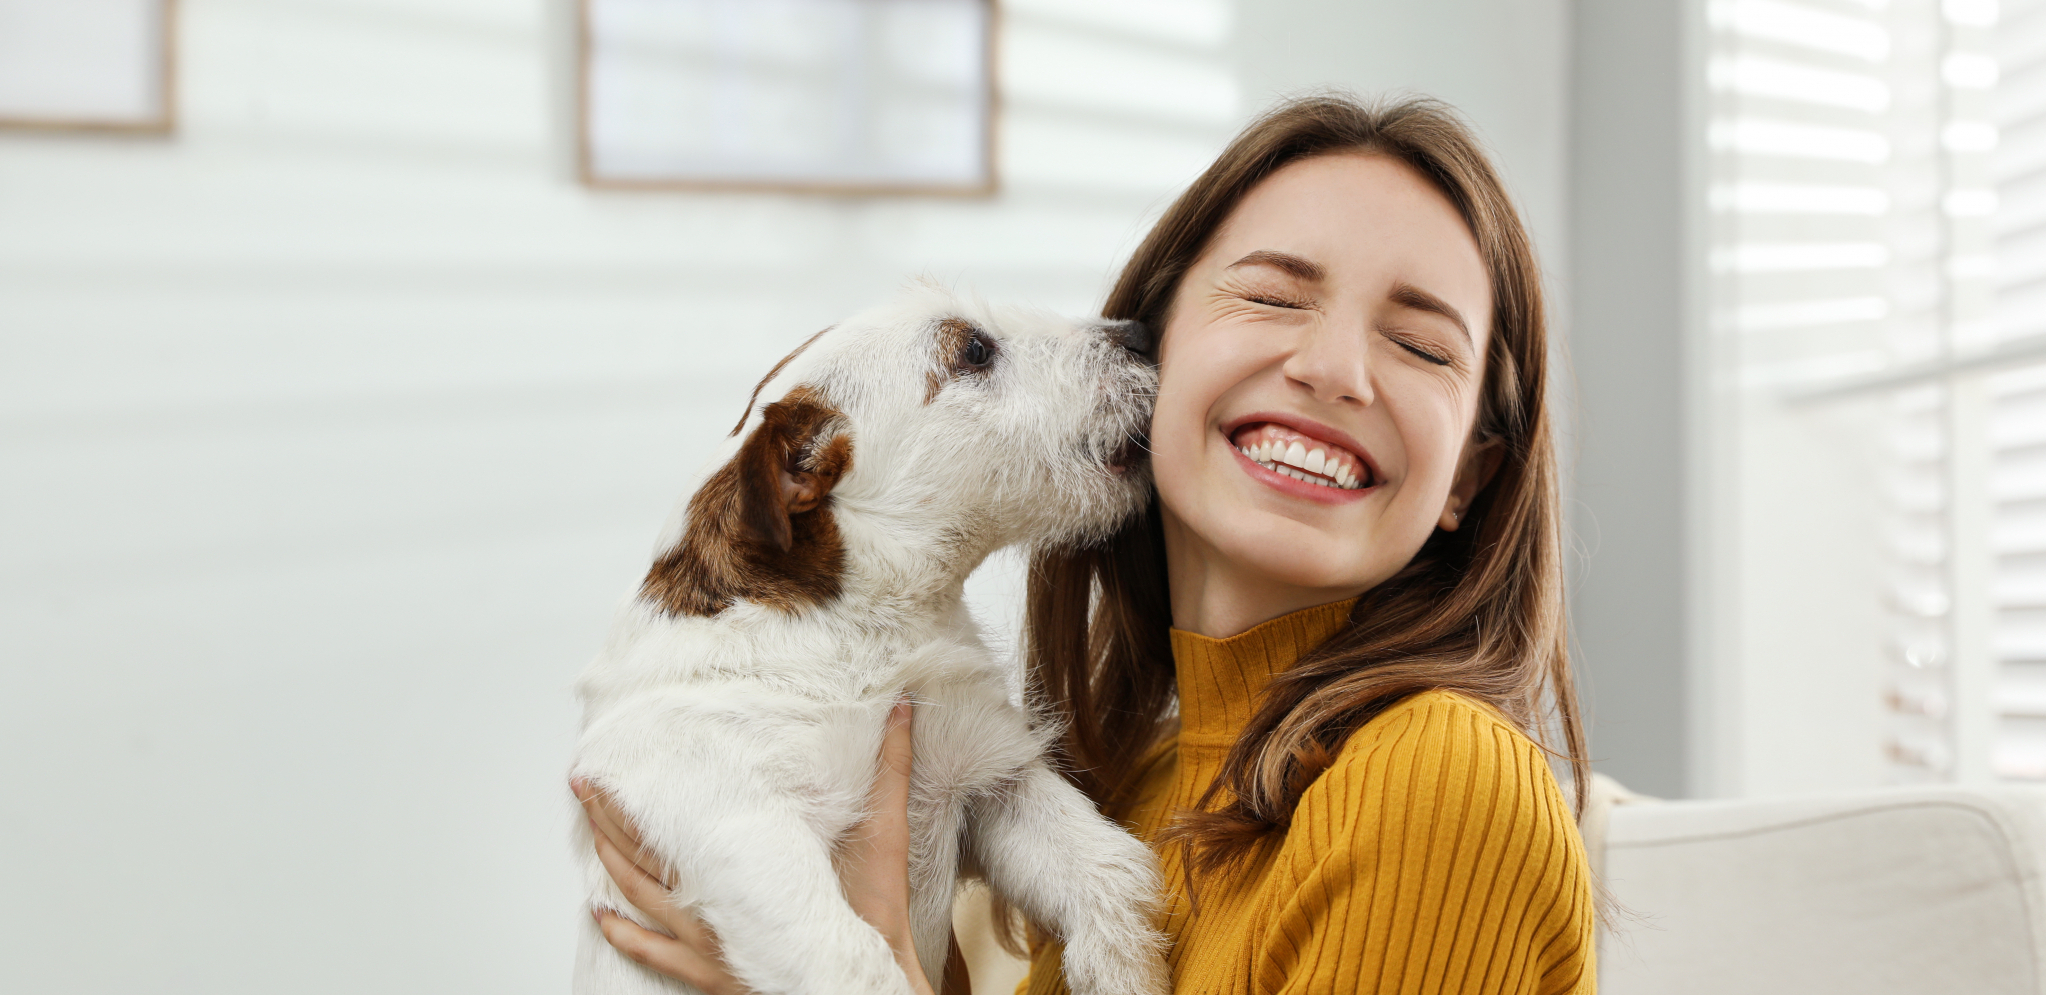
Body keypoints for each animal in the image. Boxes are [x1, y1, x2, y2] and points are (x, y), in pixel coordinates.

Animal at [568, 282, 1178, 995]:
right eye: (974, 350)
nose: (1140, 334)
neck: (873, 631)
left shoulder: (991, 782)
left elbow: (1107, 869)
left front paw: (1124, 970)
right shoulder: (738, 819)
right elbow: (852, 958)